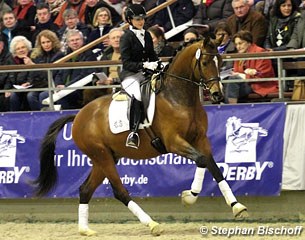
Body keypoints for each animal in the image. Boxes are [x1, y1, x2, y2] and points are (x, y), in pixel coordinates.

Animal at [33, 37, 247, 236]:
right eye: (204, 62)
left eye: (220, 60)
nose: (218, 95)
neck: (178, 97)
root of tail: (78, 116)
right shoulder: (174, 142)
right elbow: (202, 160)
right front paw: (189, 196)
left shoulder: (200, 139)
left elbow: (213, 166)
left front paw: (236, 206)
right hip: (102, 156)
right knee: (119, 191)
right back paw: (152, 224)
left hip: (104, 158)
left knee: (85, 189)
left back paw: (85, 230)